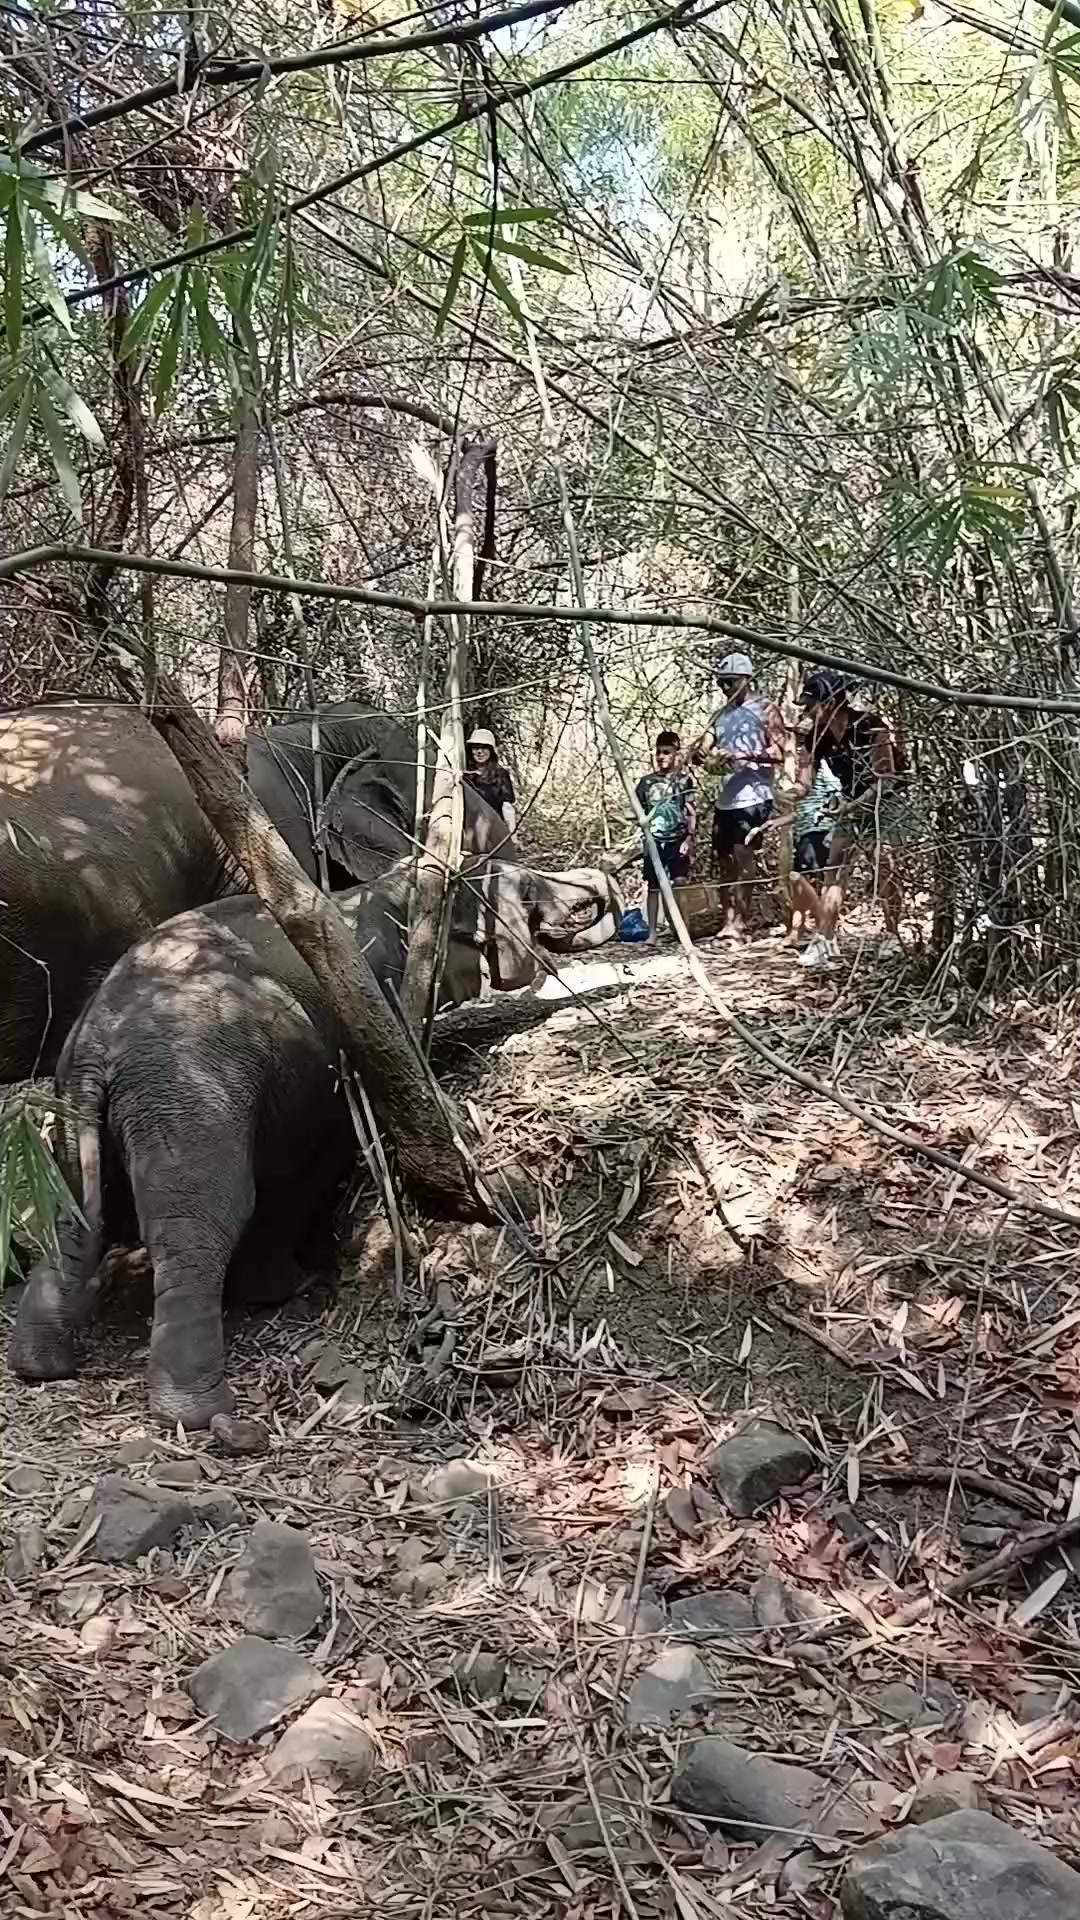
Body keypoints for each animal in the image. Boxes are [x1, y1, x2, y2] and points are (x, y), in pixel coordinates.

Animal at [9, 876, 461, 1429]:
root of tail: (101, 1039)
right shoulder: (368, 1015)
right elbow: (317, 1159)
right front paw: (291, 1286)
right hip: (192, 1095)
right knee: (202, 1221)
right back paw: (199, 1410)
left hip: (75, 1097)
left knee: (73, 1208)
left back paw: (40, 1365)